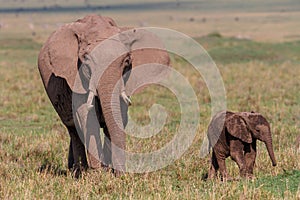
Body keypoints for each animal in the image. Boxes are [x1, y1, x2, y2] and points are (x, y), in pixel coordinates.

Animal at [37, 14, 170, 177]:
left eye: (127, 61)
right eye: (86, 62)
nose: (123, 175)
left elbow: (116, 118)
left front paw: (109, 173)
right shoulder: (74, 76)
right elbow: (86, 117)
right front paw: (97, 175)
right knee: (73, 129)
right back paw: (79, 172)